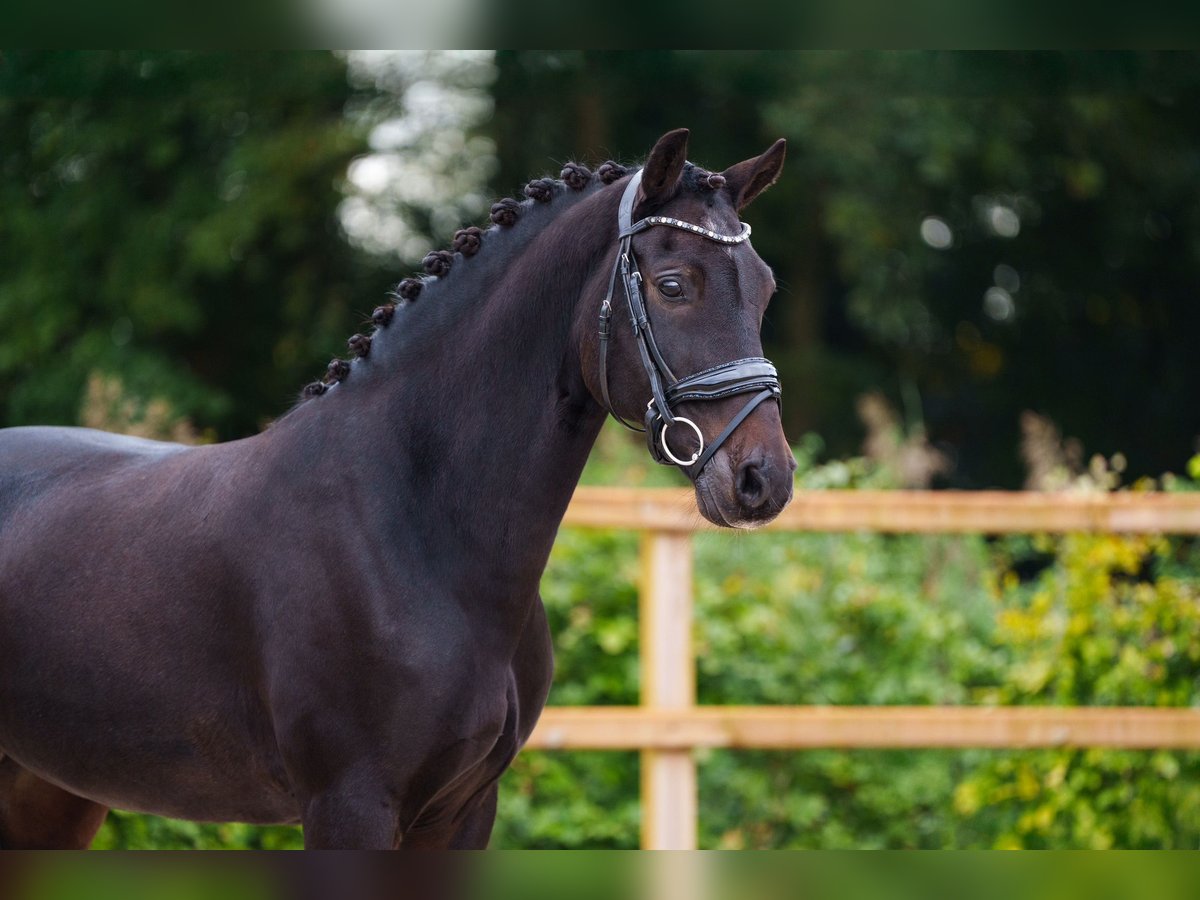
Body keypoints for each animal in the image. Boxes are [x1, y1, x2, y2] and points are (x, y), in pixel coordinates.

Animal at [0, 130, 796, 849]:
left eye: (765, 288)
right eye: (673, 286)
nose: (764, 480)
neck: (413, 526)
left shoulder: (464, 812)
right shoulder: (350, 806)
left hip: (52, 795)